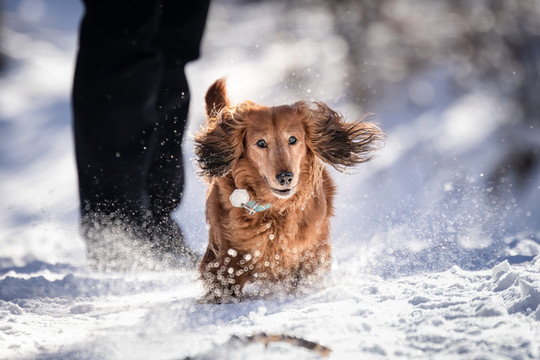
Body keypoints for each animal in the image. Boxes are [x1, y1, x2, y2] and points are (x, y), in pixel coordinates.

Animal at [194, 79, 384, 304]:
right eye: (261, 143)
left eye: (292, 139)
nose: (285, 177)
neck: (276, 209)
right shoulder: (227, 255)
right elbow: (225, 278)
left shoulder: (314, 247)